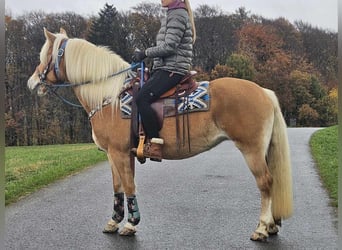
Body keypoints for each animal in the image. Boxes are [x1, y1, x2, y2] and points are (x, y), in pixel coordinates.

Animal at [28, 27, 292, 242]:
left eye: (45, 56)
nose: (32, 82)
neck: (110, 97)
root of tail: (264, 92)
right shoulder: (118, 155)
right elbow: (118, 187)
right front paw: (114, 221)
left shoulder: (119, 153)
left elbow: (129, 187)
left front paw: (131, 225)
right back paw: (271, 226)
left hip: (252, 150)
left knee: (265, 183)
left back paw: (261, 228)